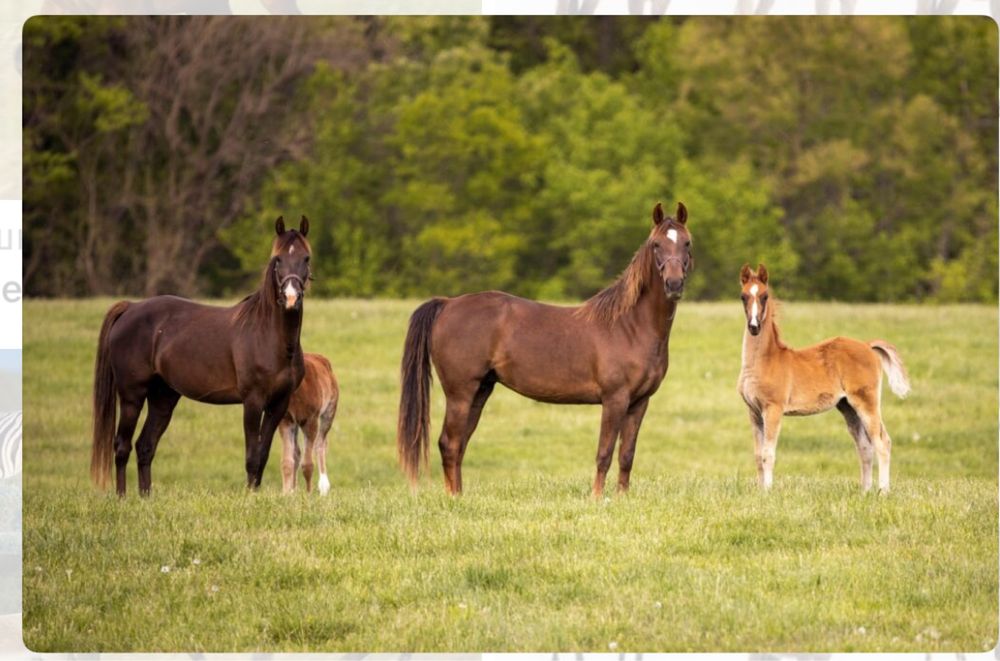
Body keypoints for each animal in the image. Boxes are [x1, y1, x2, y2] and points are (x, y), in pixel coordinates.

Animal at [90, 216, 312, 496]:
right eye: (278, 259)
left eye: (306, 258)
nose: (291, 297)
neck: (269, 336)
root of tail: (130, 308)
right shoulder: (252, 401)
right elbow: (252, 456)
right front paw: (250, 497)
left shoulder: (278, 404)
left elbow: (262, 455)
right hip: (132, 396)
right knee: (122, 446)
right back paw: (122, 498)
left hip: (163, 397)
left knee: (145, 446)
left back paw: (145, 497)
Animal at [278, 352, 339, 495]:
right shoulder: (286, 420)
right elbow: (287, 461)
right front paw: (286, 493)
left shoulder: (311, 419)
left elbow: (308, 464)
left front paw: (308, 494)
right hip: (295, 423)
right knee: (297, 452)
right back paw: (294, 489)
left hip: (329, 411)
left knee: (320, 444)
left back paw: (323, 488)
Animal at [397, 202, 693, 497]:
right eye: (656, 244)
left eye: (687, 243)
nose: (674, 284)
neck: (628, 325)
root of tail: (447, 304)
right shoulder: (615, 399)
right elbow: (605, 453)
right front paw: (597, 498)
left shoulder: (639, 402)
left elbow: (626, 455)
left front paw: (622, 497)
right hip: (460, 393)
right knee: (449, 443)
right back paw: (454, 499)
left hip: (480, 391)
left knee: (459, 445)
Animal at [736, 263, 911, 492]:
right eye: (743, 296)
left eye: (764, 296)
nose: (754, 326)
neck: (765, 361)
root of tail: (867, 345)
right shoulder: (754, 412)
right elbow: (757, 456)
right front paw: (760, 491)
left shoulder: (773, 409)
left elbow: (768, 454)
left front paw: (768, 492)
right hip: (848, 407)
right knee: (865, 447)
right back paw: (864, 492)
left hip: (867, 402)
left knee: (882, 442)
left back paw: (882, 492)